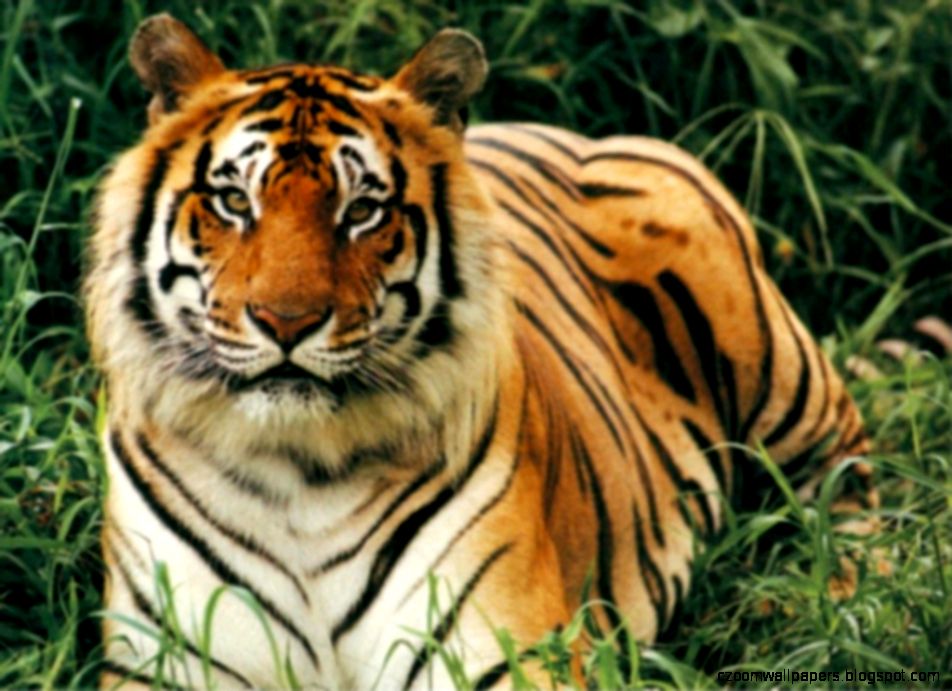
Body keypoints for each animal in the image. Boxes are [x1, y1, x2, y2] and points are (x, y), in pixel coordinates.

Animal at [85, 13, 876, 690]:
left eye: (361, 210)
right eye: (233, 202)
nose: (288, 322)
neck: (298, 472)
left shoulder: (500, 649)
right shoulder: (167, 658)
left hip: (776, 370)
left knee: (848, 477)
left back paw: (824, 600)